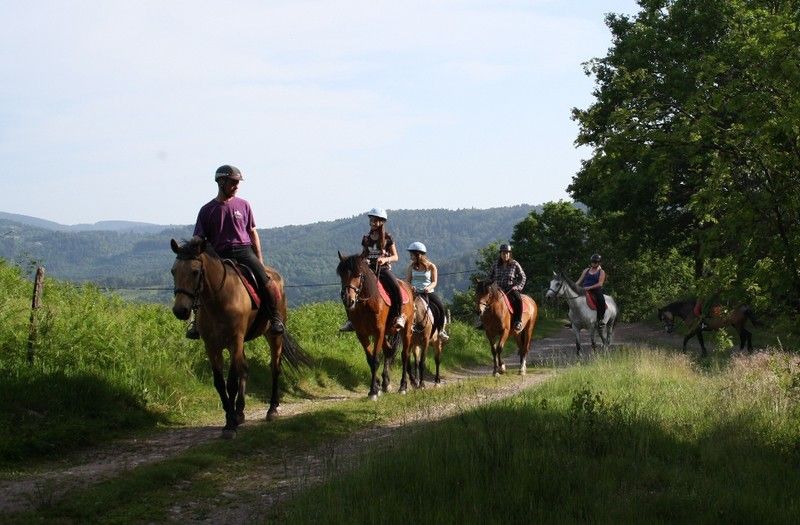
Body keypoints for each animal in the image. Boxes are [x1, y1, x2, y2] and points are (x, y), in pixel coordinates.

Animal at [170, 239, 308, 436]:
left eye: (195, 272)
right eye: (173, 271)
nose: (180, 311)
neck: (219, 299)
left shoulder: (235, 341)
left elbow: (231, 383)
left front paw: (230, 426)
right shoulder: (212, 346)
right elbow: (220, 383)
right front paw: (231, 418)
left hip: (274, 336)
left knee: (274, 368)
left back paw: (272, 409)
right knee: (245, 369)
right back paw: (240, 412)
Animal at [334, 253, 416, 398]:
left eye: (359, 275)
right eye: (342, 275)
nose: (348, 300)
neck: (367, 303)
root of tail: (408, 287)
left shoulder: (378, 332)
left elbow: (376, 360)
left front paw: (373, 391)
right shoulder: (362, 334)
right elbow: (370, 359)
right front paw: (376, 386)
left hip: (406, 329)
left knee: (404, 355)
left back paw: (403, 386)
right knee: (389, 351)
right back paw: (386, 383)